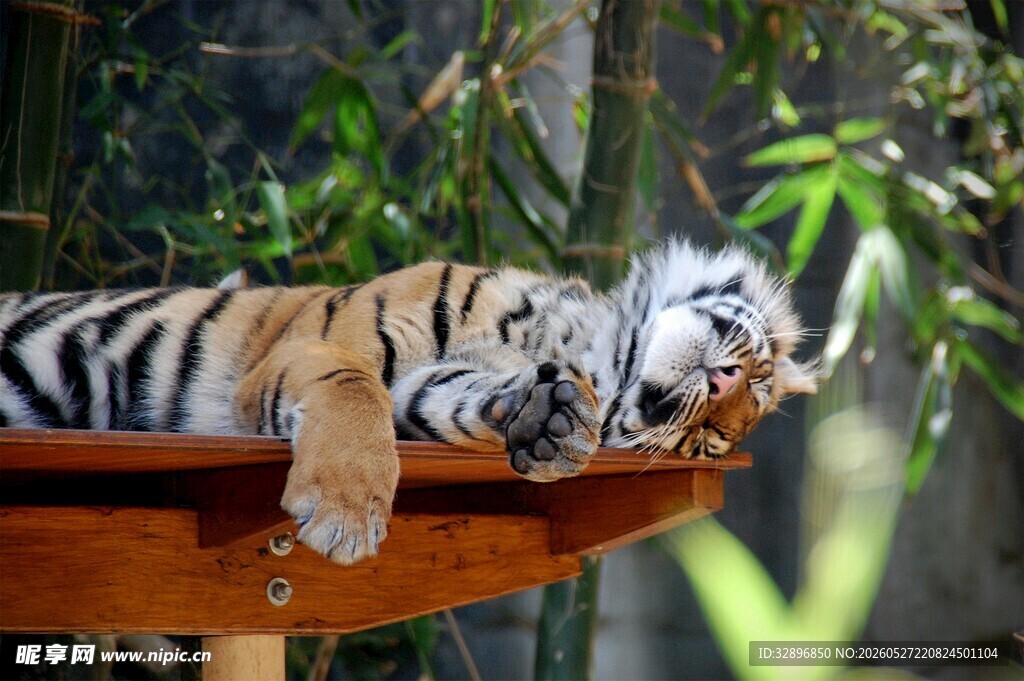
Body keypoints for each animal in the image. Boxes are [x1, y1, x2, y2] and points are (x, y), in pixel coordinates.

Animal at [0, 240, 816, 564]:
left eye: (707, 444)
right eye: (754, 374)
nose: (722, 391)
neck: (573, 341)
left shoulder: (426, 392)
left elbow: (454, 398)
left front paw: (552, 423)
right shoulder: (315, 347)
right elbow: (354, 388)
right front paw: (345, 517)